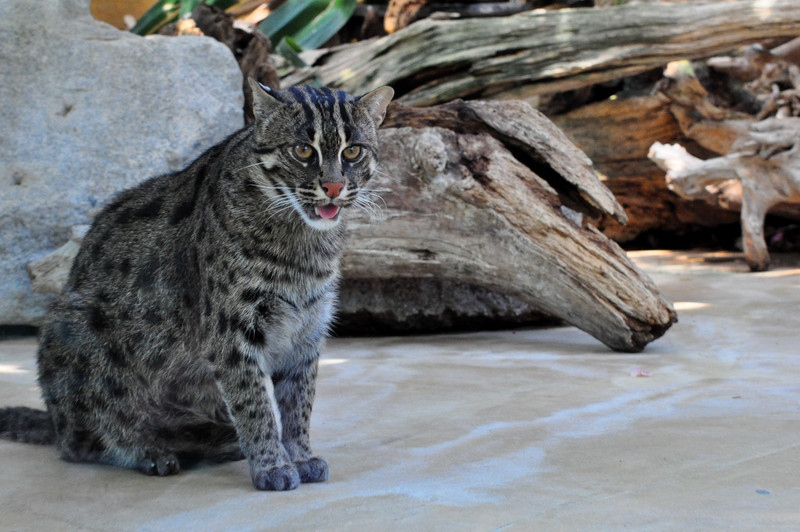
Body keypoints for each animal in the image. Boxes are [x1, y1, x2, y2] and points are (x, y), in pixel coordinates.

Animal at [0, 79, 394, 490]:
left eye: (352, 151)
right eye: (303, 150)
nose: (333, 187)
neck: (302, 245)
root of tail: (53, 420)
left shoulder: (308, 327)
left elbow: (298, 403)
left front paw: (299, 455)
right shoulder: (231, 332)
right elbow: (255, 405)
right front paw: (271, 465)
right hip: (74, 324)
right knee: (81, 440)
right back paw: (148, 450)